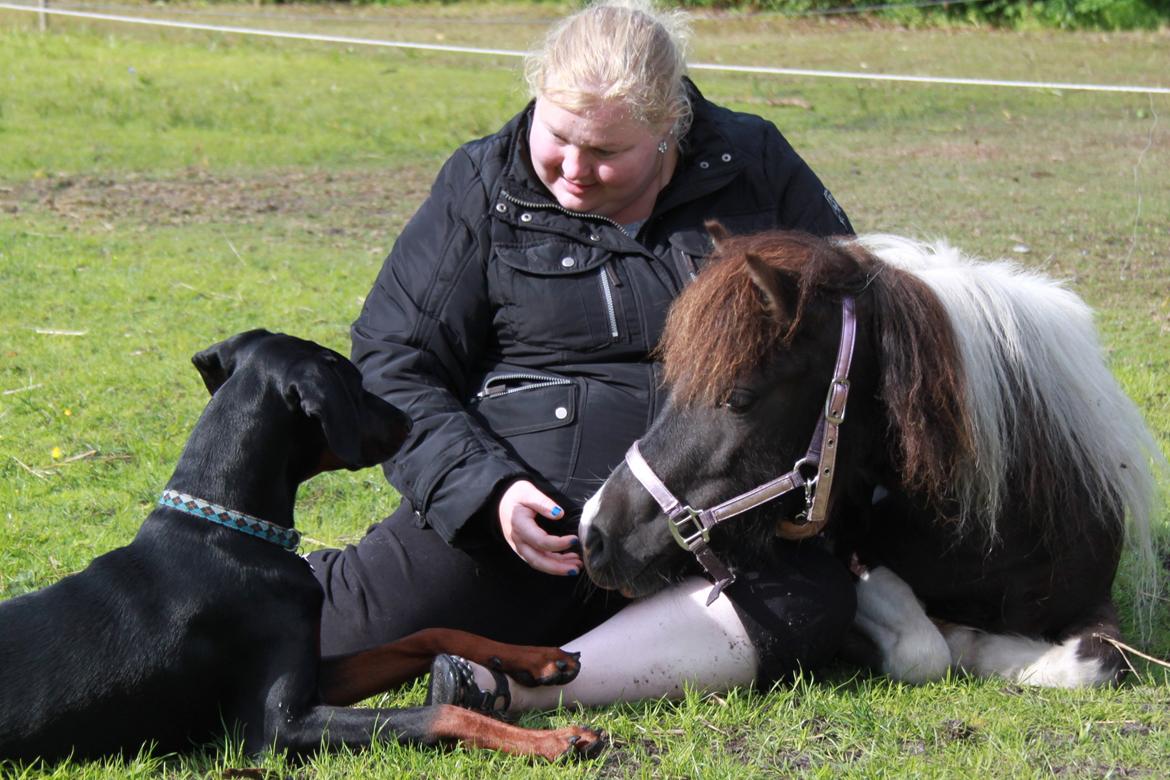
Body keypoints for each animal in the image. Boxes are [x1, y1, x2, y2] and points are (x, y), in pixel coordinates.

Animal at [0, 332, 599, 767]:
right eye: (354, 384)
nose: (410, 421)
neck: (233, 535)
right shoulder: (279, 728)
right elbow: (438, 717)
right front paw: (554, 740)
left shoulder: (316, 673)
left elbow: (428, 632)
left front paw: (539, 659)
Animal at [582, 226, 1160, 687]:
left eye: (739, 398)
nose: (593, 531)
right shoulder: (853, 556)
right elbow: (925, 648)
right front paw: (961, 641)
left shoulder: (1092, 599)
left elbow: (1097, 662)